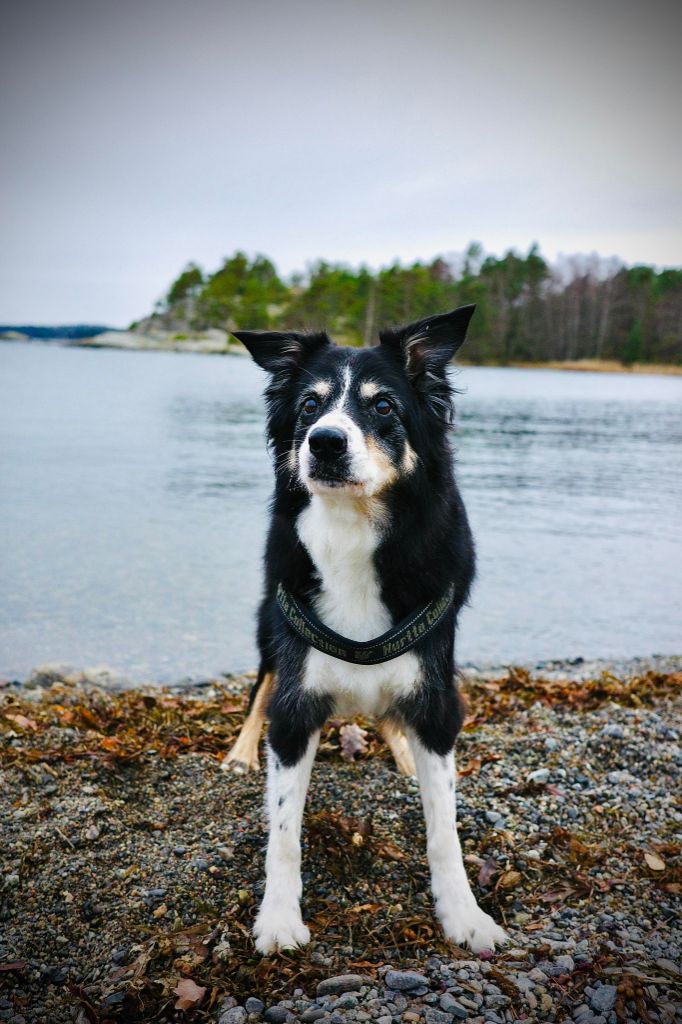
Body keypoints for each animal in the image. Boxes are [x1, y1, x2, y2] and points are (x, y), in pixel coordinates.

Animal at [225, 307, 507, 954]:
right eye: (309, 404)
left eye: (382, 406)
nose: (325, 441)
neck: (351, 527)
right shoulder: (295, 703)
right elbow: (284, 830)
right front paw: (278, 919)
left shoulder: (436, 696)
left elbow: (444, 827)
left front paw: (464, 914)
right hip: (268, 629)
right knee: (258, 691)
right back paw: (240, 752)